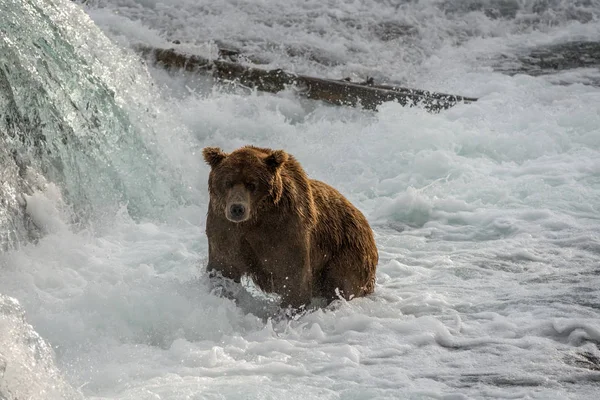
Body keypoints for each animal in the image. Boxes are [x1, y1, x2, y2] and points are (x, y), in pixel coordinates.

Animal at [204, 146, 378, 310]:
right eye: (228, 182)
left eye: (252, 184)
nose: (237, 208)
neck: (255, 219)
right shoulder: (225, 228)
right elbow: (224, 266)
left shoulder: (285, 229)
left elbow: (293, 278)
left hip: (346, 252)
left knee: (342, 284)